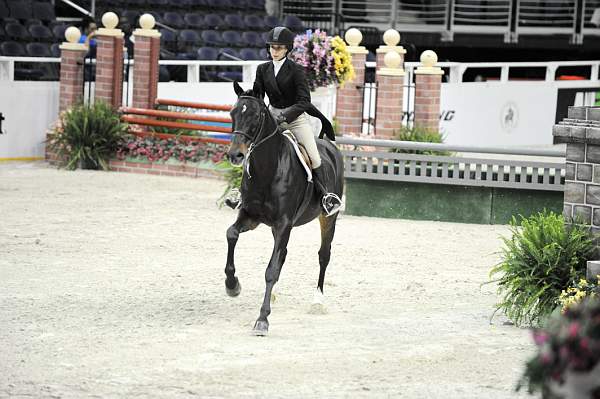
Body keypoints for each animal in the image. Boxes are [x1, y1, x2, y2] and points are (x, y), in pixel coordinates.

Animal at [225, 80, 344, 334]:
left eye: (256, 115)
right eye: (232, 113)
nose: (235, 155)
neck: (268, 168)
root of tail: (327, 144)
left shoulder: (284, 224)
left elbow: (271, 270)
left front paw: (262, 319)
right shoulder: (251, 216)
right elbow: (231, 234)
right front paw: (232, 285)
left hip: (327, 218)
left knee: (323, 255)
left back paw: (318, 300)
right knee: (283, 255)